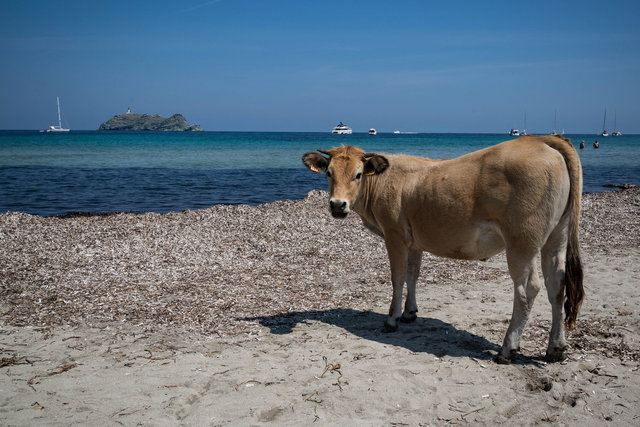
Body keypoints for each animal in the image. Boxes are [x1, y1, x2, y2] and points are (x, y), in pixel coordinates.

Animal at [302, 135, 584, 363]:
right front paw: (410, 312)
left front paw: (392, 319)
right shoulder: (414, 241)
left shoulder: (394, 236)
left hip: (521, 241)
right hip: (557, 235)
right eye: (329, 173)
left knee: (528, 289)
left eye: (358, 174)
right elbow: (413, 275)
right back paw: (556, 348)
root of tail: (539, 139)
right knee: (556, 284)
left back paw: (508, 349)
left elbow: (397, 278)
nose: (337, 205)